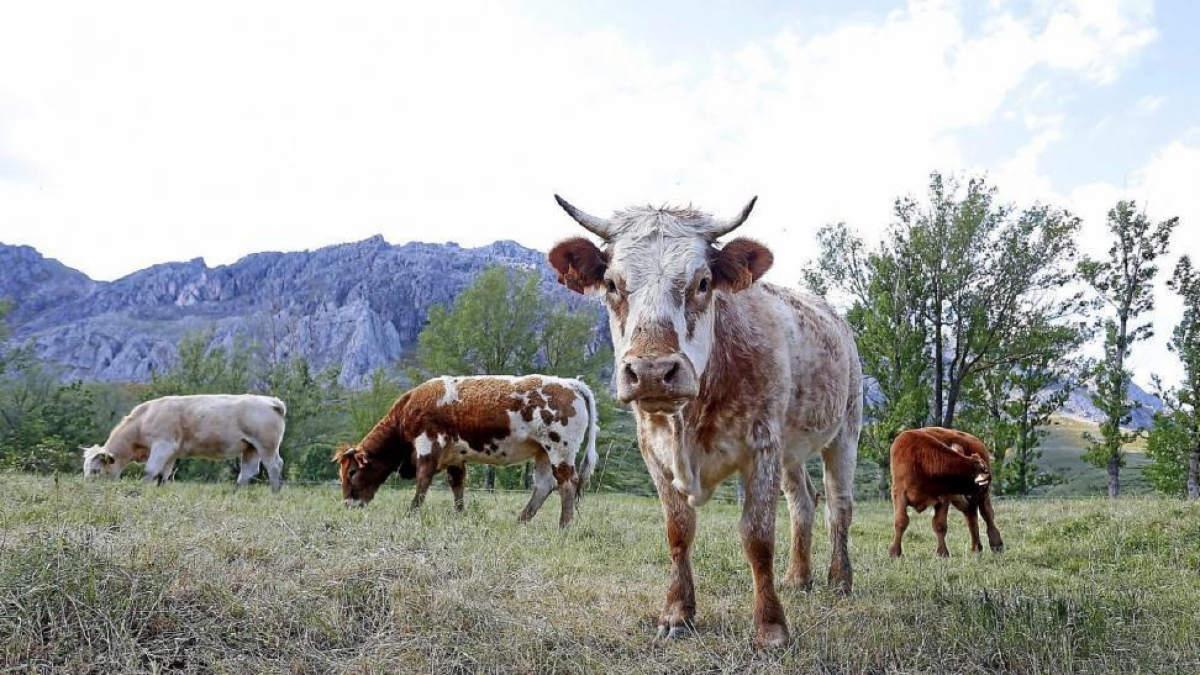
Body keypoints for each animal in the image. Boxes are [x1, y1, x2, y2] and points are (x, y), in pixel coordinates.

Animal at [82, 394, 287, 492]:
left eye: (96, 471)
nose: (87, 489)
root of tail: (270, 401)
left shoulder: (162, 445)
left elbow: (150, 471)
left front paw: (141, 490)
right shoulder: (171, 452)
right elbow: (164, 475)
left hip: (267, 446)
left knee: (274, 466)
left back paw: (274, 493)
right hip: (250, 447)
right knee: (247, 472)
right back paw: (236, 493)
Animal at [334, 375, 599, 528]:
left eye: (352, 472)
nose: (347, 503)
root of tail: (570, 383)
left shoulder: (428, 446)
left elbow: (422, 482)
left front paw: (411, 514)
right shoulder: (455, 456)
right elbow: (457, 485)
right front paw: (460, 515)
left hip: (560, 449)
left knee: (567, 483)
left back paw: (563, 527)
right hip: (542, 452)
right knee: (544, 485)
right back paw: (520, 521)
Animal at [548, 196, 862, 648]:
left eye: (703, 282)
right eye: (610, 284)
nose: (651, 371)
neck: (689, 420)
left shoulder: (762, 446)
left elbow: (757, 536)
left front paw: (770, 627)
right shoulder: (654, 451)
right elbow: (678, 530)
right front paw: (678, 613)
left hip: (845, 430)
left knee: (839, 505)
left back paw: (840, 579)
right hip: (792, 447)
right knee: (803, 501)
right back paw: (798, 577)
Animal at [888, 427, 1004, 558]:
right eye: (983, 485)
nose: (985, 489)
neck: (920, 459)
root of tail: (976, 441)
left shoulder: (944, 497)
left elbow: (939, 525)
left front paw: (942, 553)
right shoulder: (899, 494)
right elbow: (901, 522)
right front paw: (895, 552)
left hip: (977, 500)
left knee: (987, 514)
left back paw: (996, 544)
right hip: (963, 500)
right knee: (971, 515)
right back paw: (976, 548)